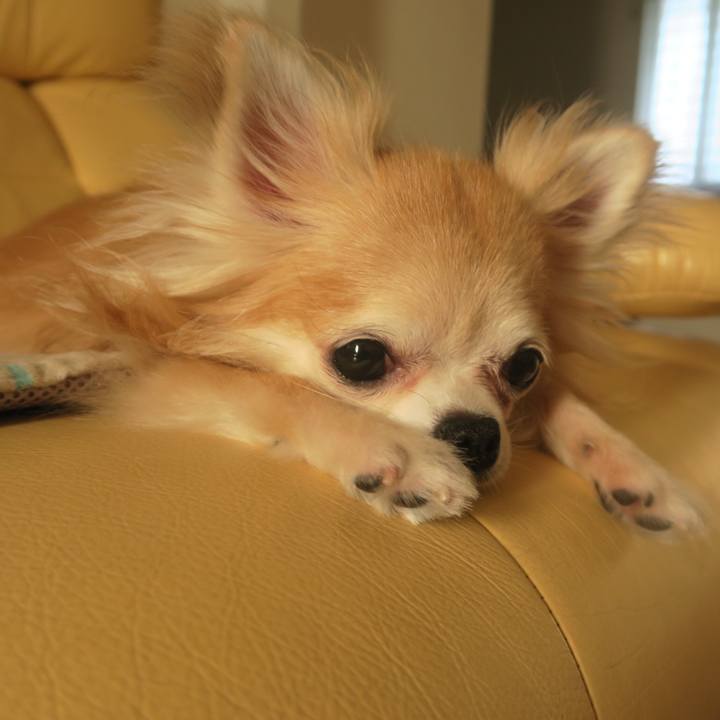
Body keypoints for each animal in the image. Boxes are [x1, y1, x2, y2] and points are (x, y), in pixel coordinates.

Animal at [0, 8, 701, 532]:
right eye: (361, 359)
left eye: (525, 366)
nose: (476, 435)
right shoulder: (135, 364)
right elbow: (265, 384)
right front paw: (396, 453)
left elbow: (567, 400)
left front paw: (635, 469)